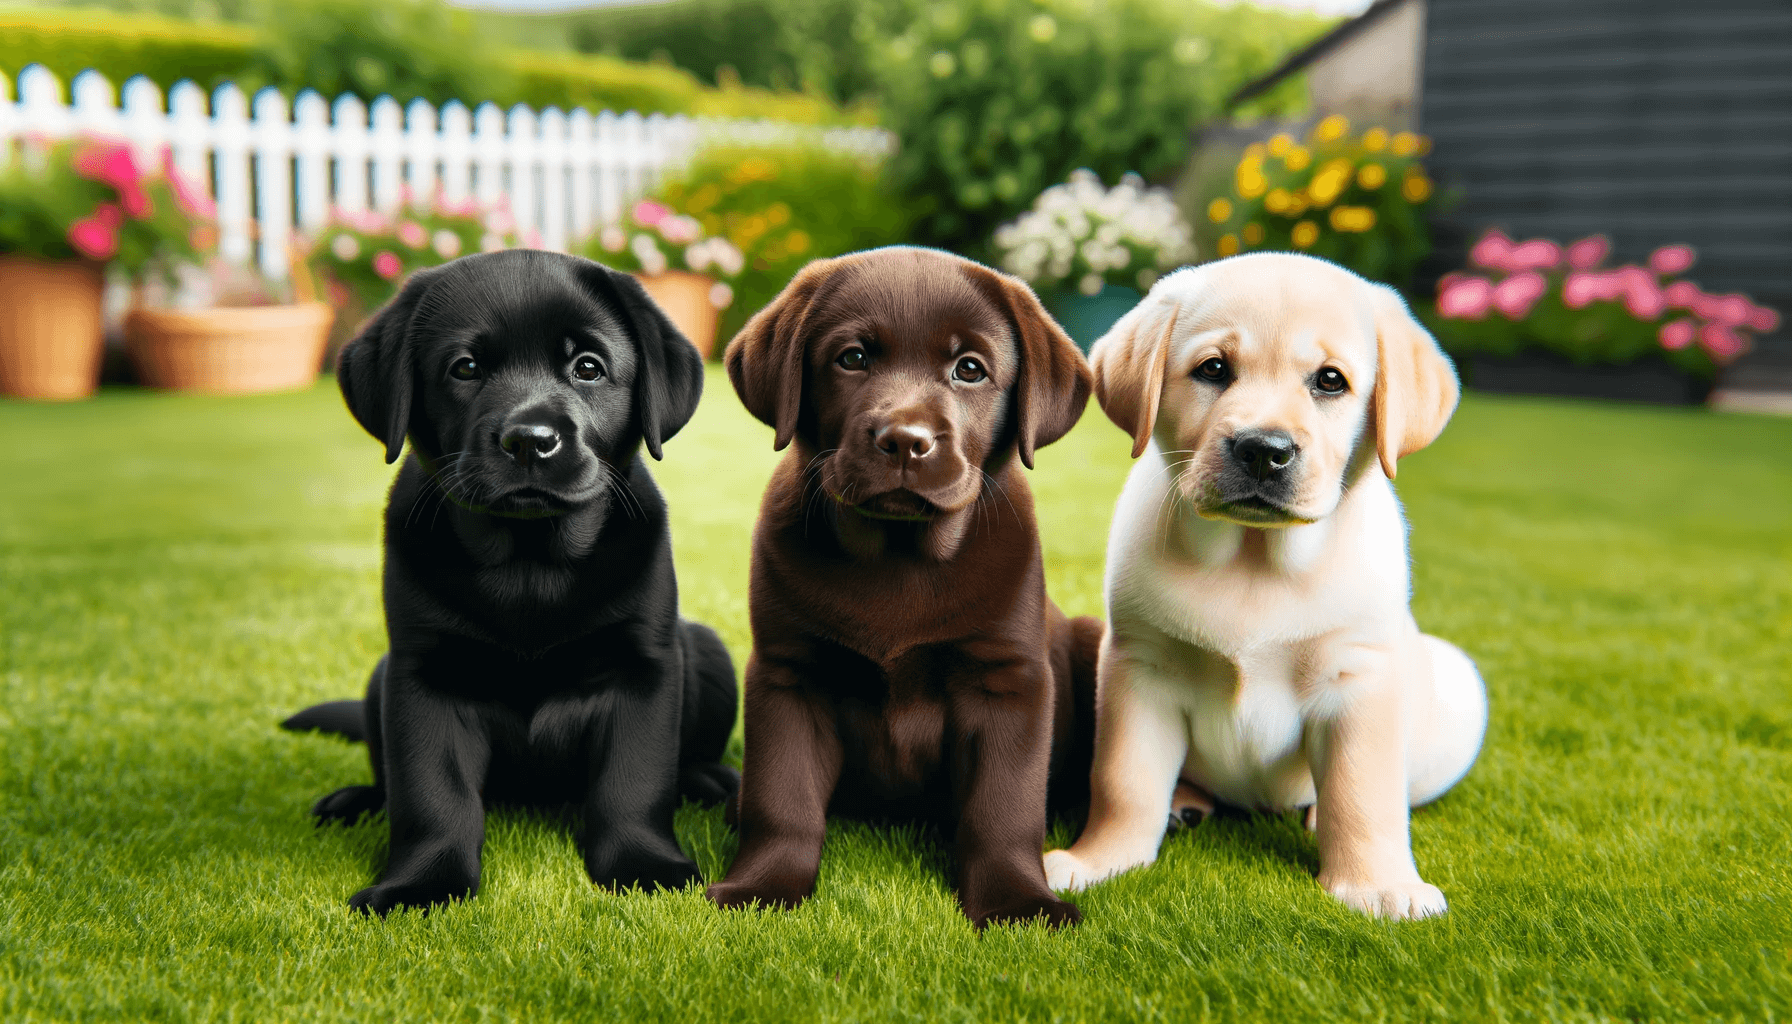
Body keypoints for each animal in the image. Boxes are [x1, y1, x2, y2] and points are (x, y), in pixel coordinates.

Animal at [286, 251, 734, 918]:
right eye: (465, 368)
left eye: (588, 367)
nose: (529, 441)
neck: (529, 566)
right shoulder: (421, 673)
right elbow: (430, 795)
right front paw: (420, 884)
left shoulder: (643, 667)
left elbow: (634, 782)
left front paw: (645, 867)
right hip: (378, 677)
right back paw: (354, 800)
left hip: (708, 649)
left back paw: (711, 780)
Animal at [1046, 254, 1483, 918]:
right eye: (1213, 369)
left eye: (1330, 381)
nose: (1262, 450)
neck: (1253, 561)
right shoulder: (1139, 670)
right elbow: (1124, 782)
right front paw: (1100, 861)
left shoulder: (1359, 679)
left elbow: (1363, 793)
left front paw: (1378, 885)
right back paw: (1184, 804)